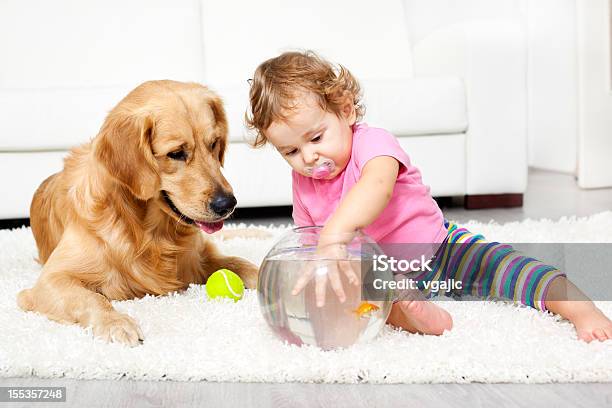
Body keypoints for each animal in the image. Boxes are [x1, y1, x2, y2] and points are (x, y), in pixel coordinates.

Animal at [17, 81, 258, 346]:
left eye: (214, 143)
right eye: (176, 153)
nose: (228, 204)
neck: (148, 232)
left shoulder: (198, 258)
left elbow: (241, 263)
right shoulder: (49, 281)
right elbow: (92, 298)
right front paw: (116, 322)